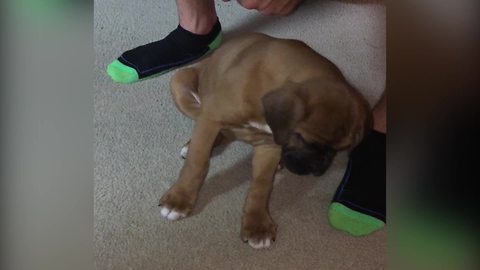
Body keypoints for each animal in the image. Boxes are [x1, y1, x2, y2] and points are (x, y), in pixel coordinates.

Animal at [159, 33, 370, 249]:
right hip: (180, 82)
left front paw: (257, 224)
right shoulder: (211, 118)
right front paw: (179, 199)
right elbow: (197, 162)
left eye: (340, 149)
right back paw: (191, 146)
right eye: (305, 139)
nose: (318, 167)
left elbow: (262, 184)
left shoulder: (270, 144)